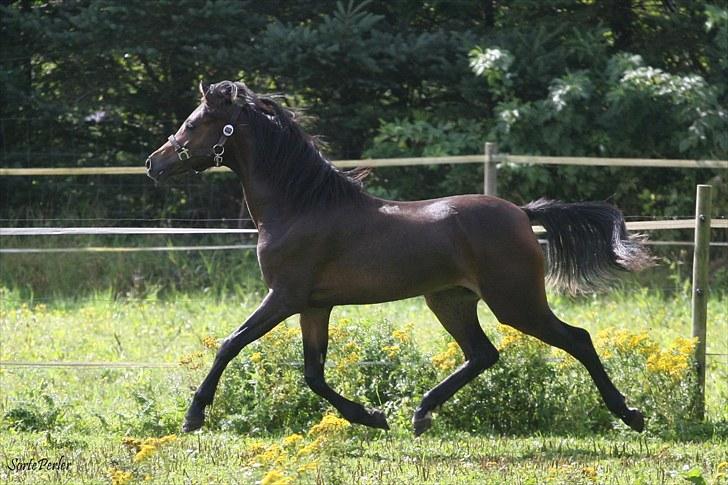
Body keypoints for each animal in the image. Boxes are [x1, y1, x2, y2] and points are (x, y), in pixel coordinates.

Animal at [145, 79, 652, 434]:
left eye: (193, 124)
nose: (154, 163)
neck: (301, 206)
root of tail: (522, 214)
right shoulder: (314, 305)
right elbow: (313, 373)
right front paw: (370, 417)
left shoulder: (284, 296)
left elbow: (231, 343)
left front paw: (193, 416)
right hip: (450, 300)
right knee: (482, 354)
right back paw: (421, 414)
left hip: (516, 302)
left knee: (577, 339)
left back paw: (630, 414)